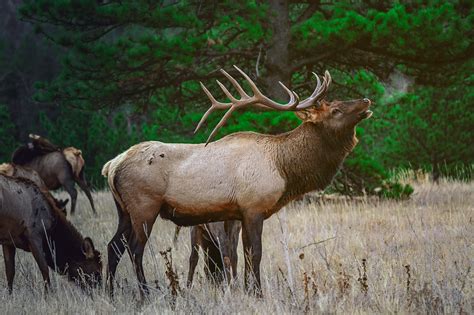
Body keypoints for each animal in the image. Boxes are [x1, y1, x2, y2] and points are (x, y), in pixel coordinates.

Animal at [102, 65, 372, 298]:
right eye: (335, 110)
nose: (366, 101)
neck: (284, 169)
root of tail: (112, 166)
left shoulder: (238, 213)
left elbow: (243, 254)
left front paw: (248, 290)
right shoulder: (253, 207)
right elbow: (256, 253)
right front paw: (258, 293)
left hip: (124, 210)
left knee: (113, 246)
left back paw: (110, 292)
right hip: (144, 206)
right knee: (134, 249)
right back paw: (145, 294)